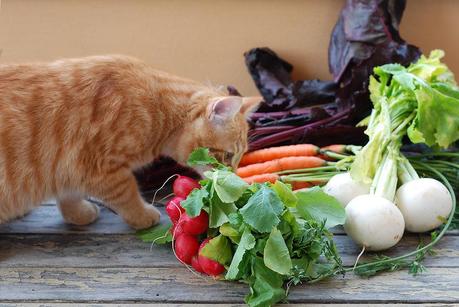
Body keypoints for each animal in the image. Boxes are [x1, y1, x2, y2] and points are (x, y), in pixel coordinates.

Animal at [0, 54, 260, 229]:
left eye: (238, 158)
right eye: (228, 155)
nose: (233, 175)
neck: (160, 110)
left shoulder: (68, 169)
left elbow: (69, 196)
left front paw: (79, 214)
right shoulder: (100, 169)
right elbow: (128, 194)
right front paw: (143, 216)